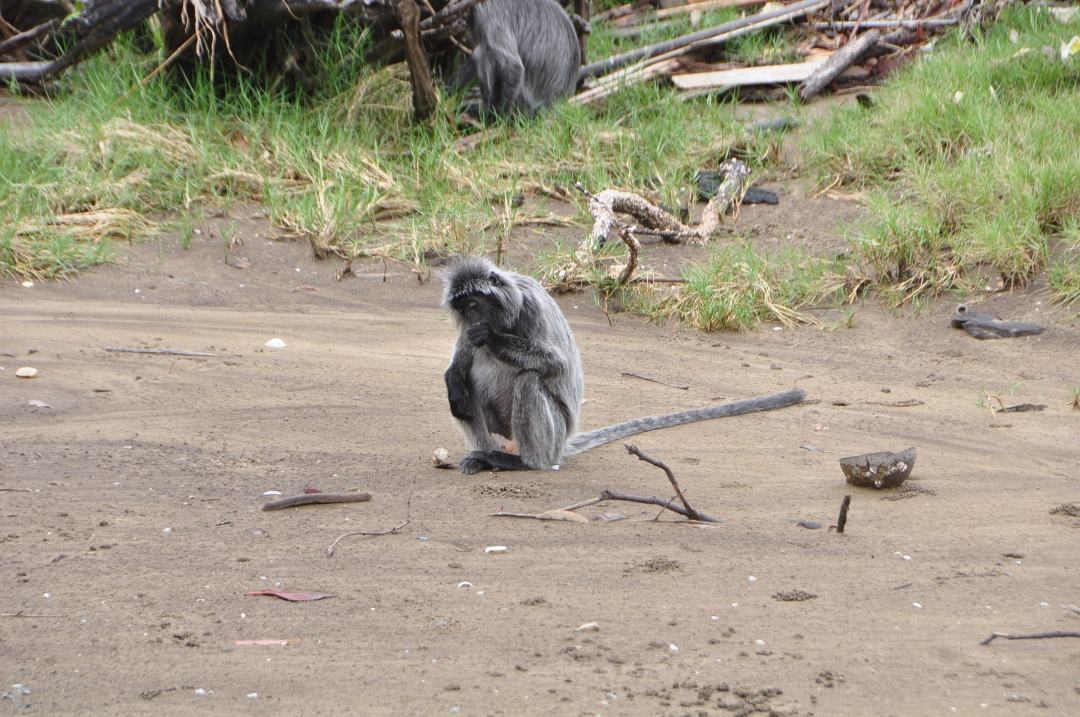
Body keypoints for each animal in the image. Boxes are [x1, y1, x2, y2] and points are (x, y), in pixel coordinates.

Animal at [442, 256, 807, 475]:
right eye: (463, 308)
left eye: (473, 304)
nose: (471, 320)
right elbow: (462, 362)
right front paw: (454, 372)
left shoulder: (532, 305)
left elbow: (556, 362)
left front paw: (491, 338)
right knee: (465, 390)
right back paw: (484, 451)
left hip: (553, 433)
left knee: (530, 379)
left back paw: (527, 463)